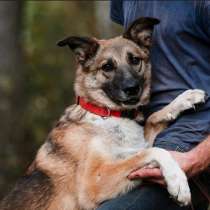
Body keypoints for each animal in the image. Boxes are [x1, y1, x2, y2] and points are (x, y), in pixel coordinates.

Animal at [0, 17, 207, 210]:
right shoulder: (94, 182)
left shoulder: (136, 145)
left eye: (135, 60)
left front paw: (185, 99)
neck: (108, 114)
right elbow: (155, 150)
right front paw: (178, 182)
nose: (132, 89)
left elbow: (152, 119)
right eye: (107, 67)